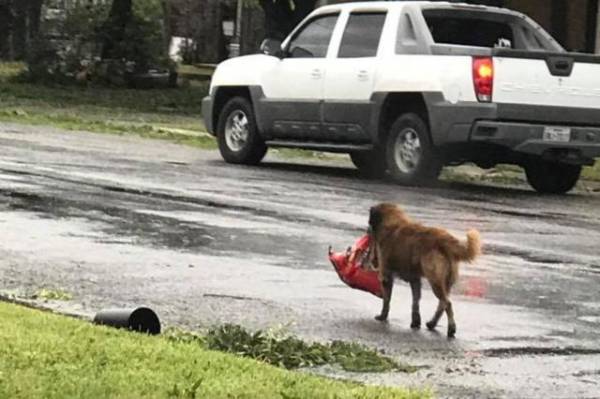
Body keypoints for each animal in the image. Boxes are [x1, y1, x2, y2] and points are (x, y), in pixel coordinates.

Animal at [368, 203, 480, 338]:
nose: (368, 230)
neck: (393, 223)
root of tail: (443, 239)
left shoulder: (387, 276)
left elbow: (386, 300)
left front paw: (383, 316)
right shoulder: (415, 280)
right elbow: (415, 302)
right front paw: (415, 322)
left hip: (435, 281)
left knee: (447, 303)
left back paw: (451, 329)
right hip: (445, 283)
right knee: (442, 304)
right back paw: (432, 323)